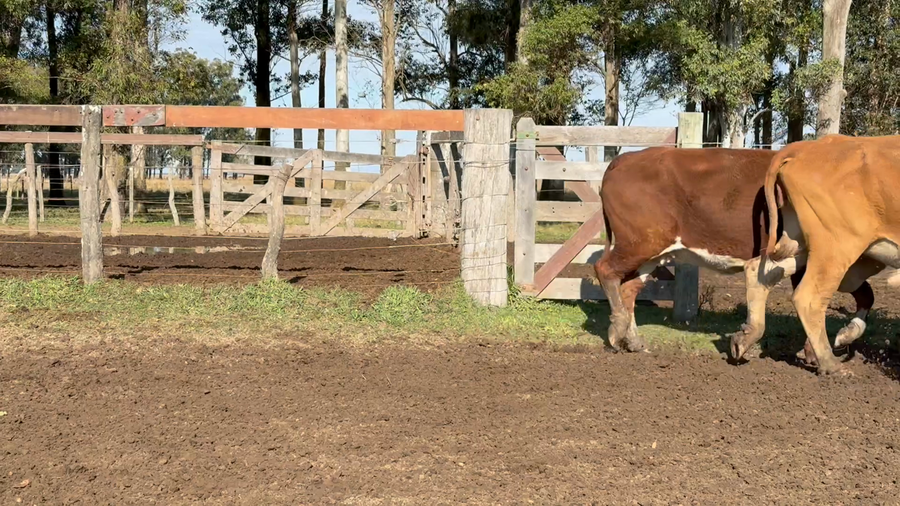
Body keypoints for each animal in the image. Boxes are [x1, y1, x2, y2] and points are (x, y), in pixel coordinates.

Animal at [593, 146, 876, 361]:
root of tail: (626, 158)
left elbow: (865, 295)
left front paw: (834, 340)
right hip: (640, 242)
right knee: (605, 270)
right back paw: (617, 328)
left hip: (650, 252)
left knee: (629, 288)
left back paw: (632, 339)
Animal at [732, 134, 900, 375]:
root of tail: (809, 146)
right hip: (837, 247)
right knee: (809, 298)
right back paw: (831, 363)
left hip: (801, 243)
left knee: (760, 271)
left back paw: (745, 337)